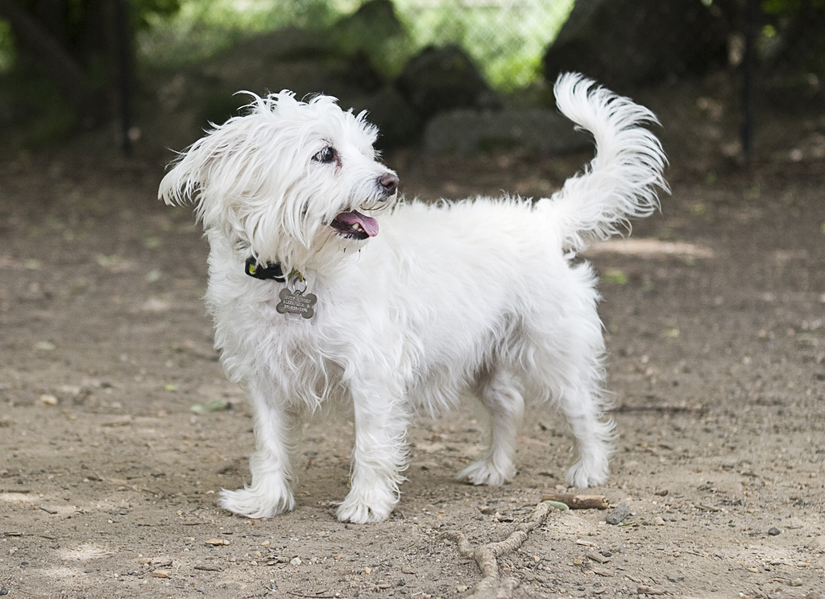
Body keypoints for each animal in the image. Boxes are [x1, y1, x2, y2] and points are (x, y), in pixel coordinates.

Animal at [158, 75, 668, 524]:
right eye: (325, 154)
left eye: (367, 151)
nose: (391, 181)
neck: (293, 270)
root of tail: (542, 219)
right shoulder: (264, 375)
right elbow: (269, 444)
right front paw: (264, 501)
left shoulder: (371, 372)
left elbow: (370, 445)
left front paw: (366, 504)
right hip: (483, 359)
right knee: (509, 404)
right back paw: (495, 468)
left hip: (551, 351)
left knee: (583, 408)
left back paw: (589, 469)